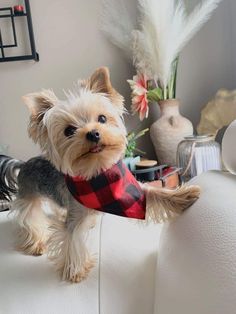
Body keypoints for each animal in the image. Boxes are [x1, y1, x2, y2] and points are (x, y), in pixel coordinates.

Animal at [0, 67, 199, 284]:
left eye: (102, 118)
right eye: (69, 131)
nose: (93, 133)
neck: (97, 173)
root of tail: (23, 163)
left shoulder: (132, 189)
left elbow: (156, 193)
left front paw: (183, 196)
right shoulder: (74, 217)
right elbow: (72, 239)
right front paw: (75, 270)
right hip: (29, 198)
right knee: (31, 220)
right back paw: (36, 243)